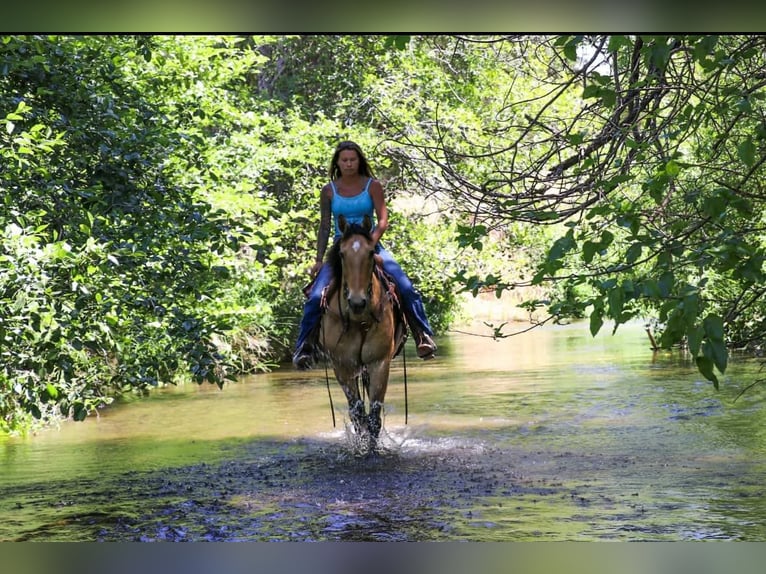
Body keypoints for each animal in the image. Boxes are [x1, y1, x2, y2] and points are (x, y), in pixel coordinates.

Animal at [318, 214, 406, 453]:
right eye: (341, 253)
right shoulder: (342, 366)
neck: (358, 321)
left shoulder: (379, 363)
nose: (357, 302)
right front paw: (361, 446)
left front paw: (373, 450)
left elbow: (374, 416)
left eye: (371, 252)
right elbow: (357, 414)